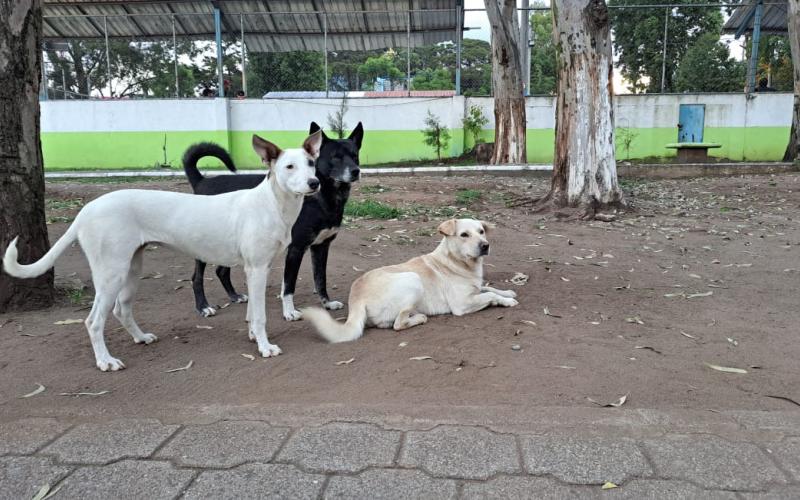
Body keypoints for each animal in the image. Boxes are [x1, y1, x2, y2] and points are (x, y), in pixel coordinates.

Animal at [3, 133, 322, 372]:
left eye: (311, 163)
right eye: (289, 167)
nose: (315, 183)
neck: (272, 203)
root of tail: (86, 211)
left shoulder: (255, 268)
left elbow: (251, 311)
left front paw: (254, 337)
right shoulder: (256, 268)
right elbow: (260, 315)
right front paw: (265, 346)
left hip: (131, 269)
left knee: (121, 309)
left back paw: (141, 338)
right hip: (111, 274)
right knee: (94, 321)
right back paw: (106, 361)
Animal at [184, 121, 362, 320]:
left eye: (355, 156)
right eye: (336, 157)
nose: (356, 171)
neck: (323, 197)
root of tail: (201, 181)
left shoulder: (321, 246)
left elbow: (320, 278)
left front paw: (327, 303)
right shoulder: (296, 248)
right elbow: (290, 285)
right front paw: (289, 312)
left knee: (221, 270)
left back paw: (234, 296)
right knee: (197, 277)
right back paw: (203, 306)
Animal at [302, 219, 520, 344]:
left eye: (481, 231)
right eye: (464, 235)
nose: (485, 245)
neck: (456, 261)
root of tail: (356, 297)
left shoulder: (474, 289)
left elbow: (488, 288)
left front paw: (507, 293)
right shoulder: (462, 304)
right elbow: (489, 294)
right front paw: (506, 301)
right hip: (412, 279)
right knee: (398, 324)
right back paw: (419, 317)